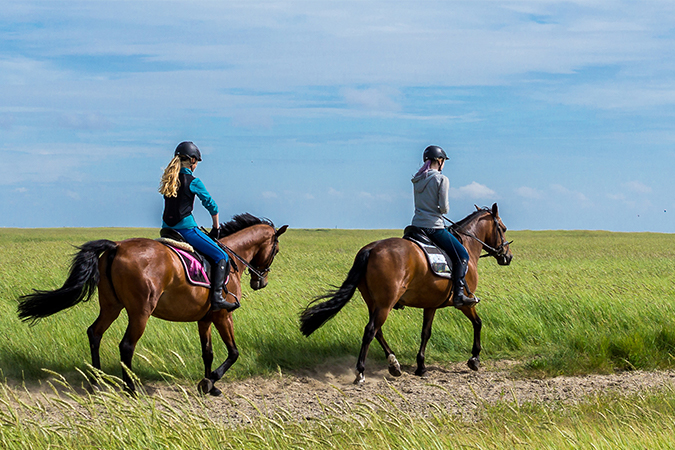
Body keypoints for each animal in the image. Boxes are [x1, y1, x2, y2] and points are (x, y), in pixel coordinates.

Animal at [17, 213, 288, 396]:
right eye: (275, 250)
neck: (230, 257)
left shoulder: (205, 319)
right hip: (140, 312)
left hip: (111, 306)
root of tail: (117, 246)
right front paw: (210, 381)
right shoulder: (223, 315)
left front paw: (209, 385)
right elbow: (233, 352)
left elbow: (208, 353)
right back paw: (130, 388)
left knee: (94, 333)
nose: (261, 281)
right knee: (126, 345)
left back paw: (97, 381)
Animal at [302, 203, 512, 384]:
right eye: (503, 228)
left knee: (377, 331)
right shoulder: (465, 303)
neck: (467, 243)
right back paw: (361, 372)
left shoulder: (431, 305)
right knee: (370, 330)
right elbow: (478, 323)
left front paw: (421, 366)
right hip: (385, 303)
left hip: (374, 303)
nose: (508, 256)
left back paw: (394, 365)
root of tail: (371, 248)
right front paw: (474, 358)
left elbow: (425, 333)